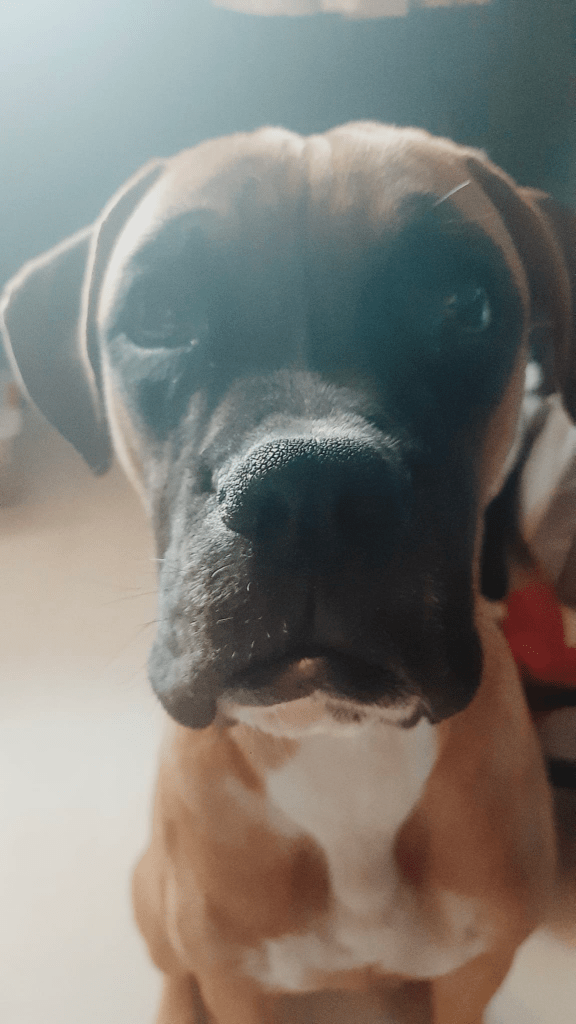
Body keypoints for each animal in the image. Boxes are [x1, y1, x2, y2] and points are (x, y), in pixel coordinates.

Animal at [2, 123, 575, 1023]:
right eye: (158, 316)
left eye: (463, 307)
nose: (309, 488)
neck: (338, 748)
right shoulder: (240, 985)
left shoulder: (474, 973)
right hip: (153, 902)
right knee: (175, 974)